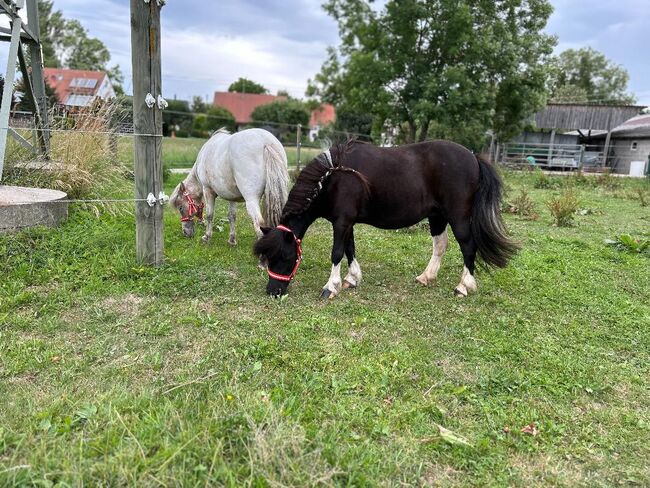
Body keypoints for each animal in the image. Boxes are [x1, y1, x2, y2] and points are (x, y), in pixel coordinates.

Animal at [253, 138, 516, 298]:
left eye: (286, 256)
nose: (273, 291)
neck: (333, 176)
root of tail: (473, 157)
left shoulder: (341, 222)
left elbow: (337, 253)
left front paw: (331, 287)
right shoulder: (347, 223)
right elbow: (350, 249)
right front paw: (352, 279)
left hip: (458, 217)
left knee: (468, 246)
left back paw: (463, 286)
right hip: (437, 217)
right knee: (441, 245)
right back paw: (426, 277)